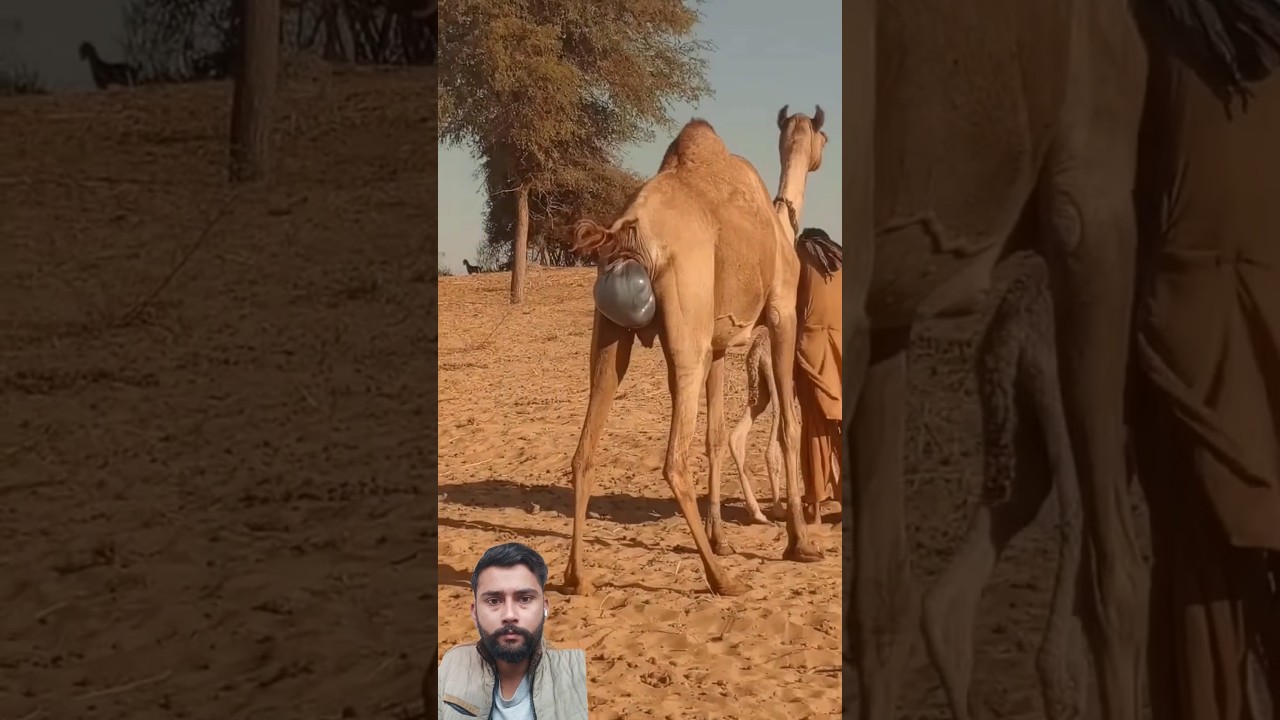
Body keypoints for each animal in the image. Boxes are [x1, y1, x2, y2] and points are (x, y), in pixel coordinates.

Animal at [564, 119, 822, 598]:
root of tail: (627, 231)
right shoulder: (782, 310)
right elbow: (789, 428)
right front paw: (800, 543)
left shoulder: (719, 341)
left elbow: (715, 436)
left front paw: (721, 538)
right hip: (688, 331)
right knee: (674, 462)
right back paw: (722, 579)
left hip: (612, 330)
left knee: (586, 445)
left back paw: (577, 575)